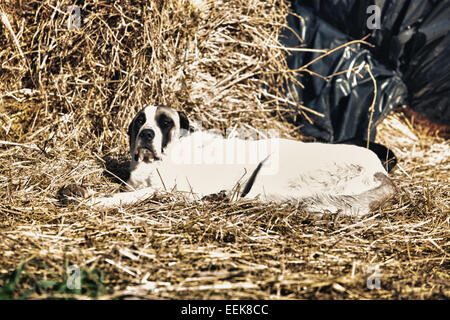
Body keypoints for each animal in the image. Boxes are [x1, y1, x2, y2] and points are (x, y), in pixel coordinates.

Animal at [58, 105, 396, 215]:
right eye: (140, 121)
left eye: (165, 123)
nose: (146, 133)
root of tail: (381, 171)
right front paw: (78, 190)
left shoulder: (171, 189)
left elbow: (137, 194)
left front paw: (96, 201)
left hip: (271, 162)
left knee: (253, 199)